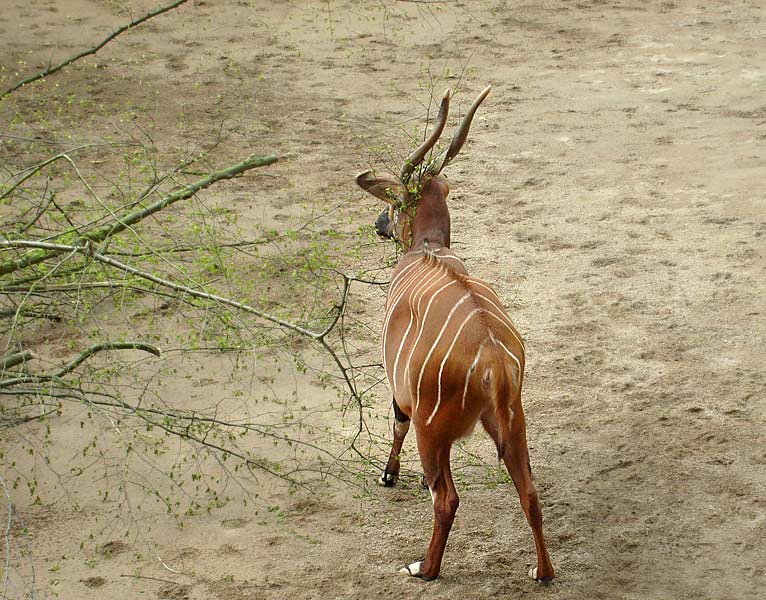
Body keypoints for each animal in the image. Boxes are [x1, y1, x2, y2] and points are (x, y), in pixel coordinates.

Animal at [356, 86, 556, 584]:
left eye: (394, 201)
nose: (379, 224)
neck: (429, 250)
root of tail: (494, 363)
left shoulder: (401, 392)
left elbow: (395, 422)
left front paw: (388, 476)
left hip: (434, 433)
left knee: (446, 498)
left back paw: (423, 568)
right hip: (514, 423)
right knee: (530, 493)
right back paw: (542, 572)